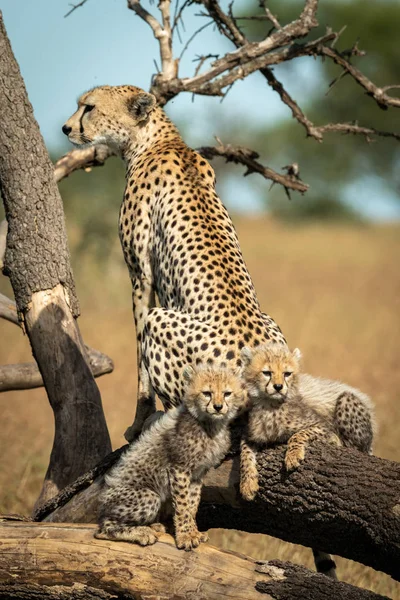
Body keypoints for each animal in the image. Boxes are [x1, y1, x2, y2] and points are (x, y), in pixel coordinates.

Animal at [61, 84, 284, 438]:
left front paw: (138, 422)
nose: (66, 128)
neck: (154, 140)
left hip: (163, 324)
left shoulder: (140, 275)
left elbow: (139, 358)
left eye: (89, 107)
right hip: (273, 325)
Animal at [95, 364, 245, 552]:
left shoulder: (198, 473)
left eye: (227, 393)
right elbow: (182, 504)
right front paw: (185, 537)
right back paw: (142, 533)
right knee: (103, 528)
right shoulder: (179, 468)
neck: (210, 425)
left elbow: (192, 503)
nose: (218, 407)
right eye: (207, 393)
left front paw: (193, 532)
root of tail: (102, 503)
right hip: (148, 496)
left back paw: (154, 526)